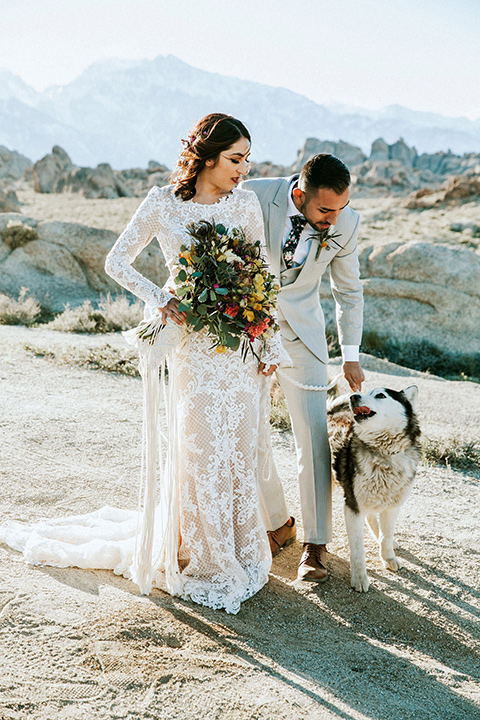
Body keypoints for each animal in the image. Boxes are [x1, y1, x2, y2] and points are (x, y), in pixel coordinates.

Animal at [328, 388, 418, 592]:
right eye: (368, 391)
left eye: (381, 395)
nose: (354, 396)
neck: (383, 456)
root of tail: (330, 414)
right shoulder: (353, 507)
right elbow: (357, 549)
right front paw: (359, 577)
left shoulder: (393, 506)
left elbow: (386, 535)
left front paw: (388, 557)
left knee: (372, 519)